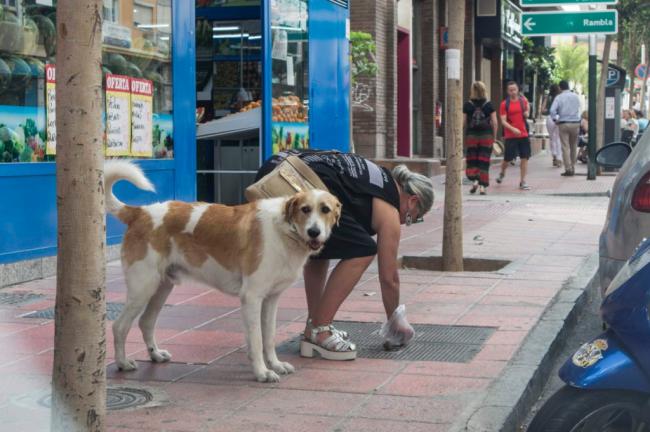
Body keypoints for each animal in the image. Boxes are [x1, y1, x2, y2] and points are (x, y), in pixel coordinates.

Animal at [105, 161, 340, 382]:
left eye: (325, 210)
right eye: (305, 209)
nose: (314, 232)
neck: (284, 230)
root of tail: (139, 212)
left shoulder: (271, 299)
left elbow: (269, 336)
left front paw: (275, 364)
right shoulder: (251, 297)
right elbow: (256, 339)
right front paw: (262, 372)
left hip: (162, 286)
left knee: (145, 322)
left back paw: (155, 354)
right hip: (142, 288)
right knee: (119, 326)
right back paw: (122, 362)